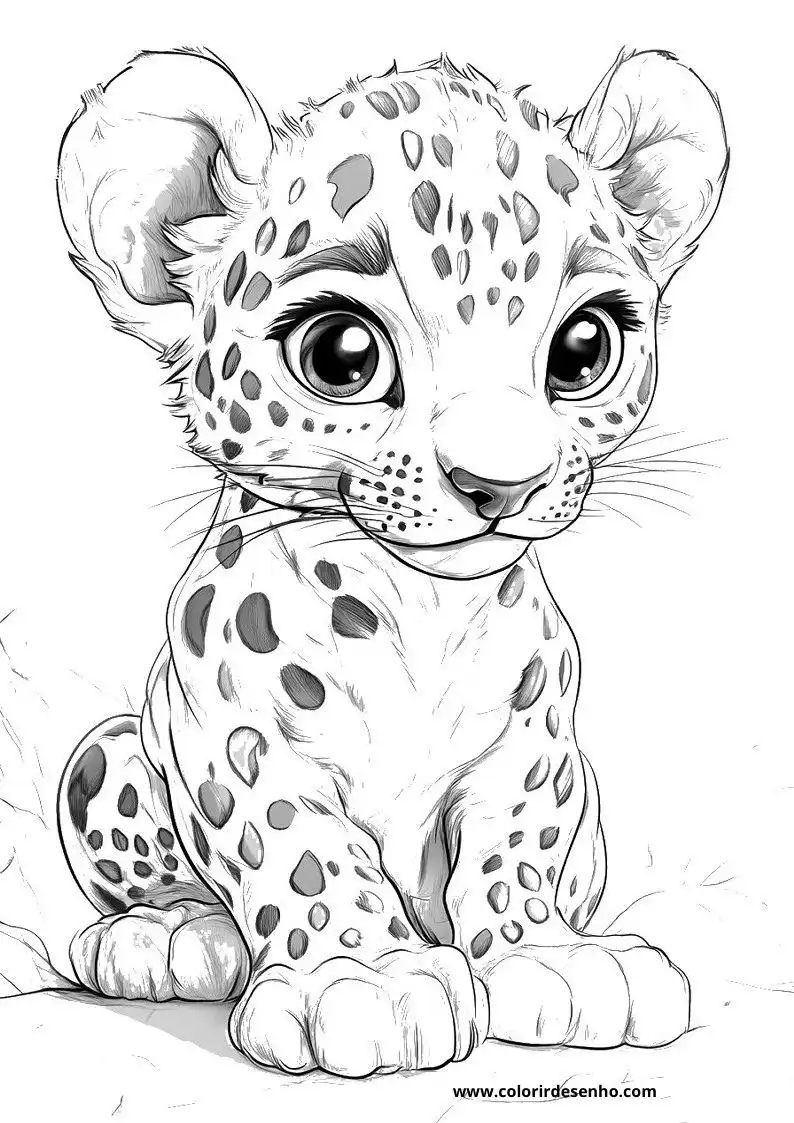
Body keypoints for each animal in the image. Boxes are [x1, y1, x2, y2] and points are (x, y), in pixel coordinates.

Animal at [55, 45, 728, 1077]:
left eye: (585, 346)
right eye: (342, 353)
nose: (502, 481)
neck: (418, 609)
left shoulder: (536, 742)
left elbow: (517, 843)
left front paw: (553, 959)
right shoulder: (239, 738)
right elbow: (297, 845)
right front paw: (366, 978)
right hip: (111, 746)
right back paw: (167, 935)